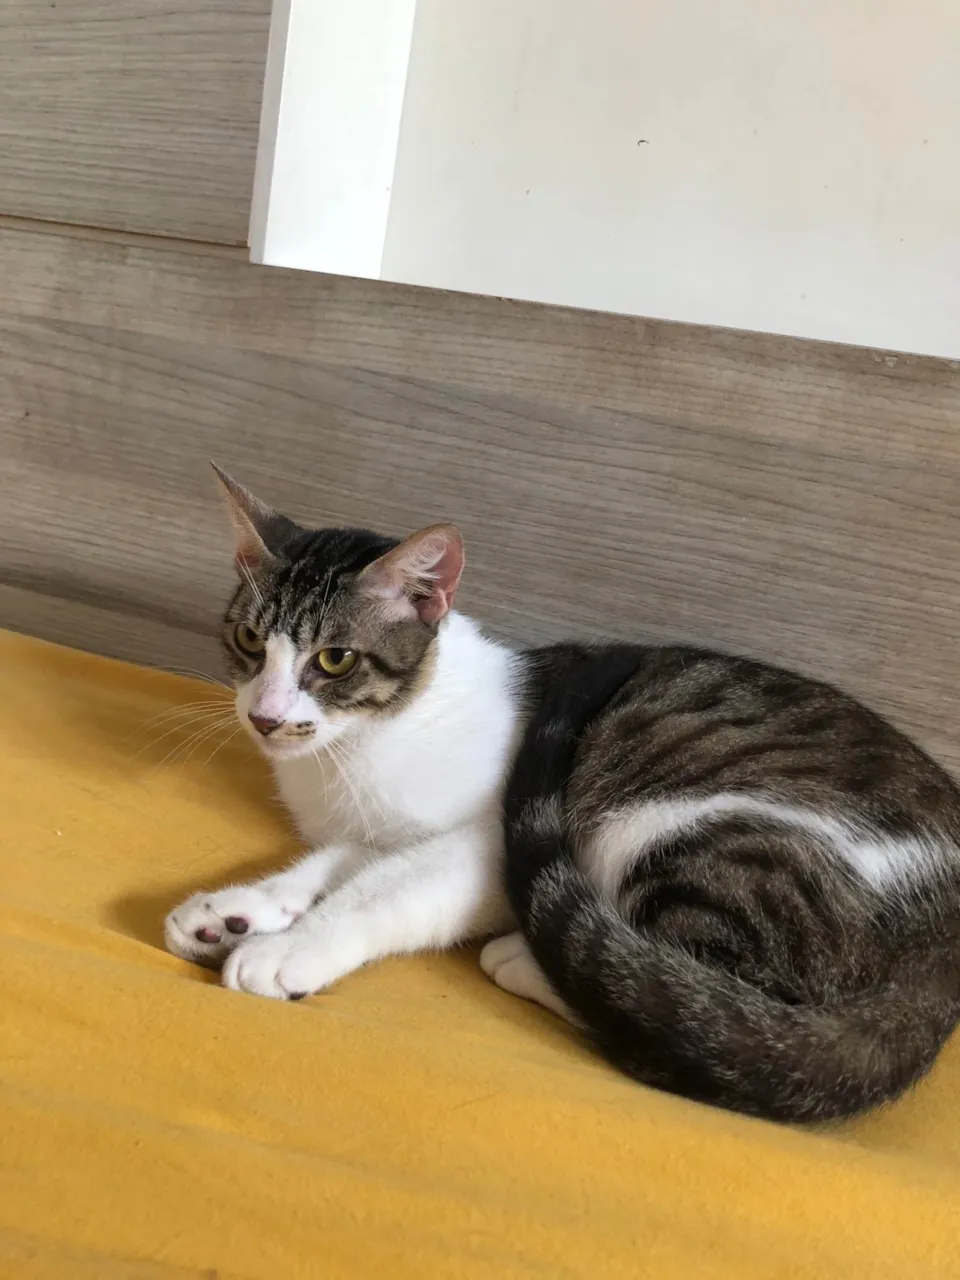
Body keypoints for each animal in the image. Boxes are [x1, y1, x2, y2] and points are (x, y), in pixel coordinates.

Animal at [165, 465, 960, 1122]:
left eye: (333, 659)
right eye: (248, 641)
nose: (265, 715)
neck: (355, 751)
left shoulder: (489, 838)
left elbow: (381, 890)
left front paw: (288, 947)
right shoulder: (378, 827)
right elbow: (334, 863)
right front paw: (238, 910)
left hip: (683, 829)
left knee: (702, 1020)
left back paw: (531, 961)